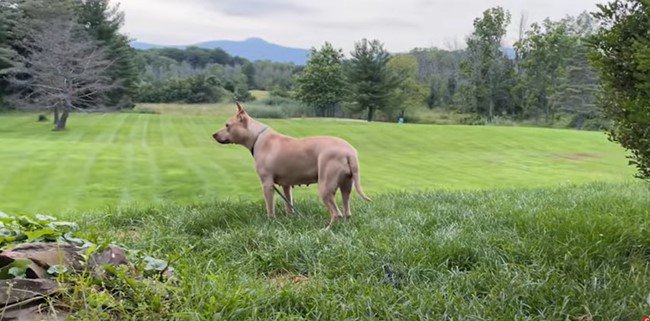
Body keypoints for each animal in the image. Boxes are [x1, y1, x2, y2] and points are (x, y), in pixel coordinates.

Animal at [210, 103, 368, 228]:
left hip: (325, 187)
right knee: (347, 210)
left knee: (336, 213)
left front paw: (271, 221)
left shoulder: (267, 184)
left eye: (227, 125)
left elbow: (270, 207)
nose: (213, 134)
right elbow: (288, 203)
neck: (257, 137)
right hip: (346, 186)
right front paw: (290, 218)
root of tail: (349, 151)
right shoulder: (286, 185)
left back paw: (326, 230)